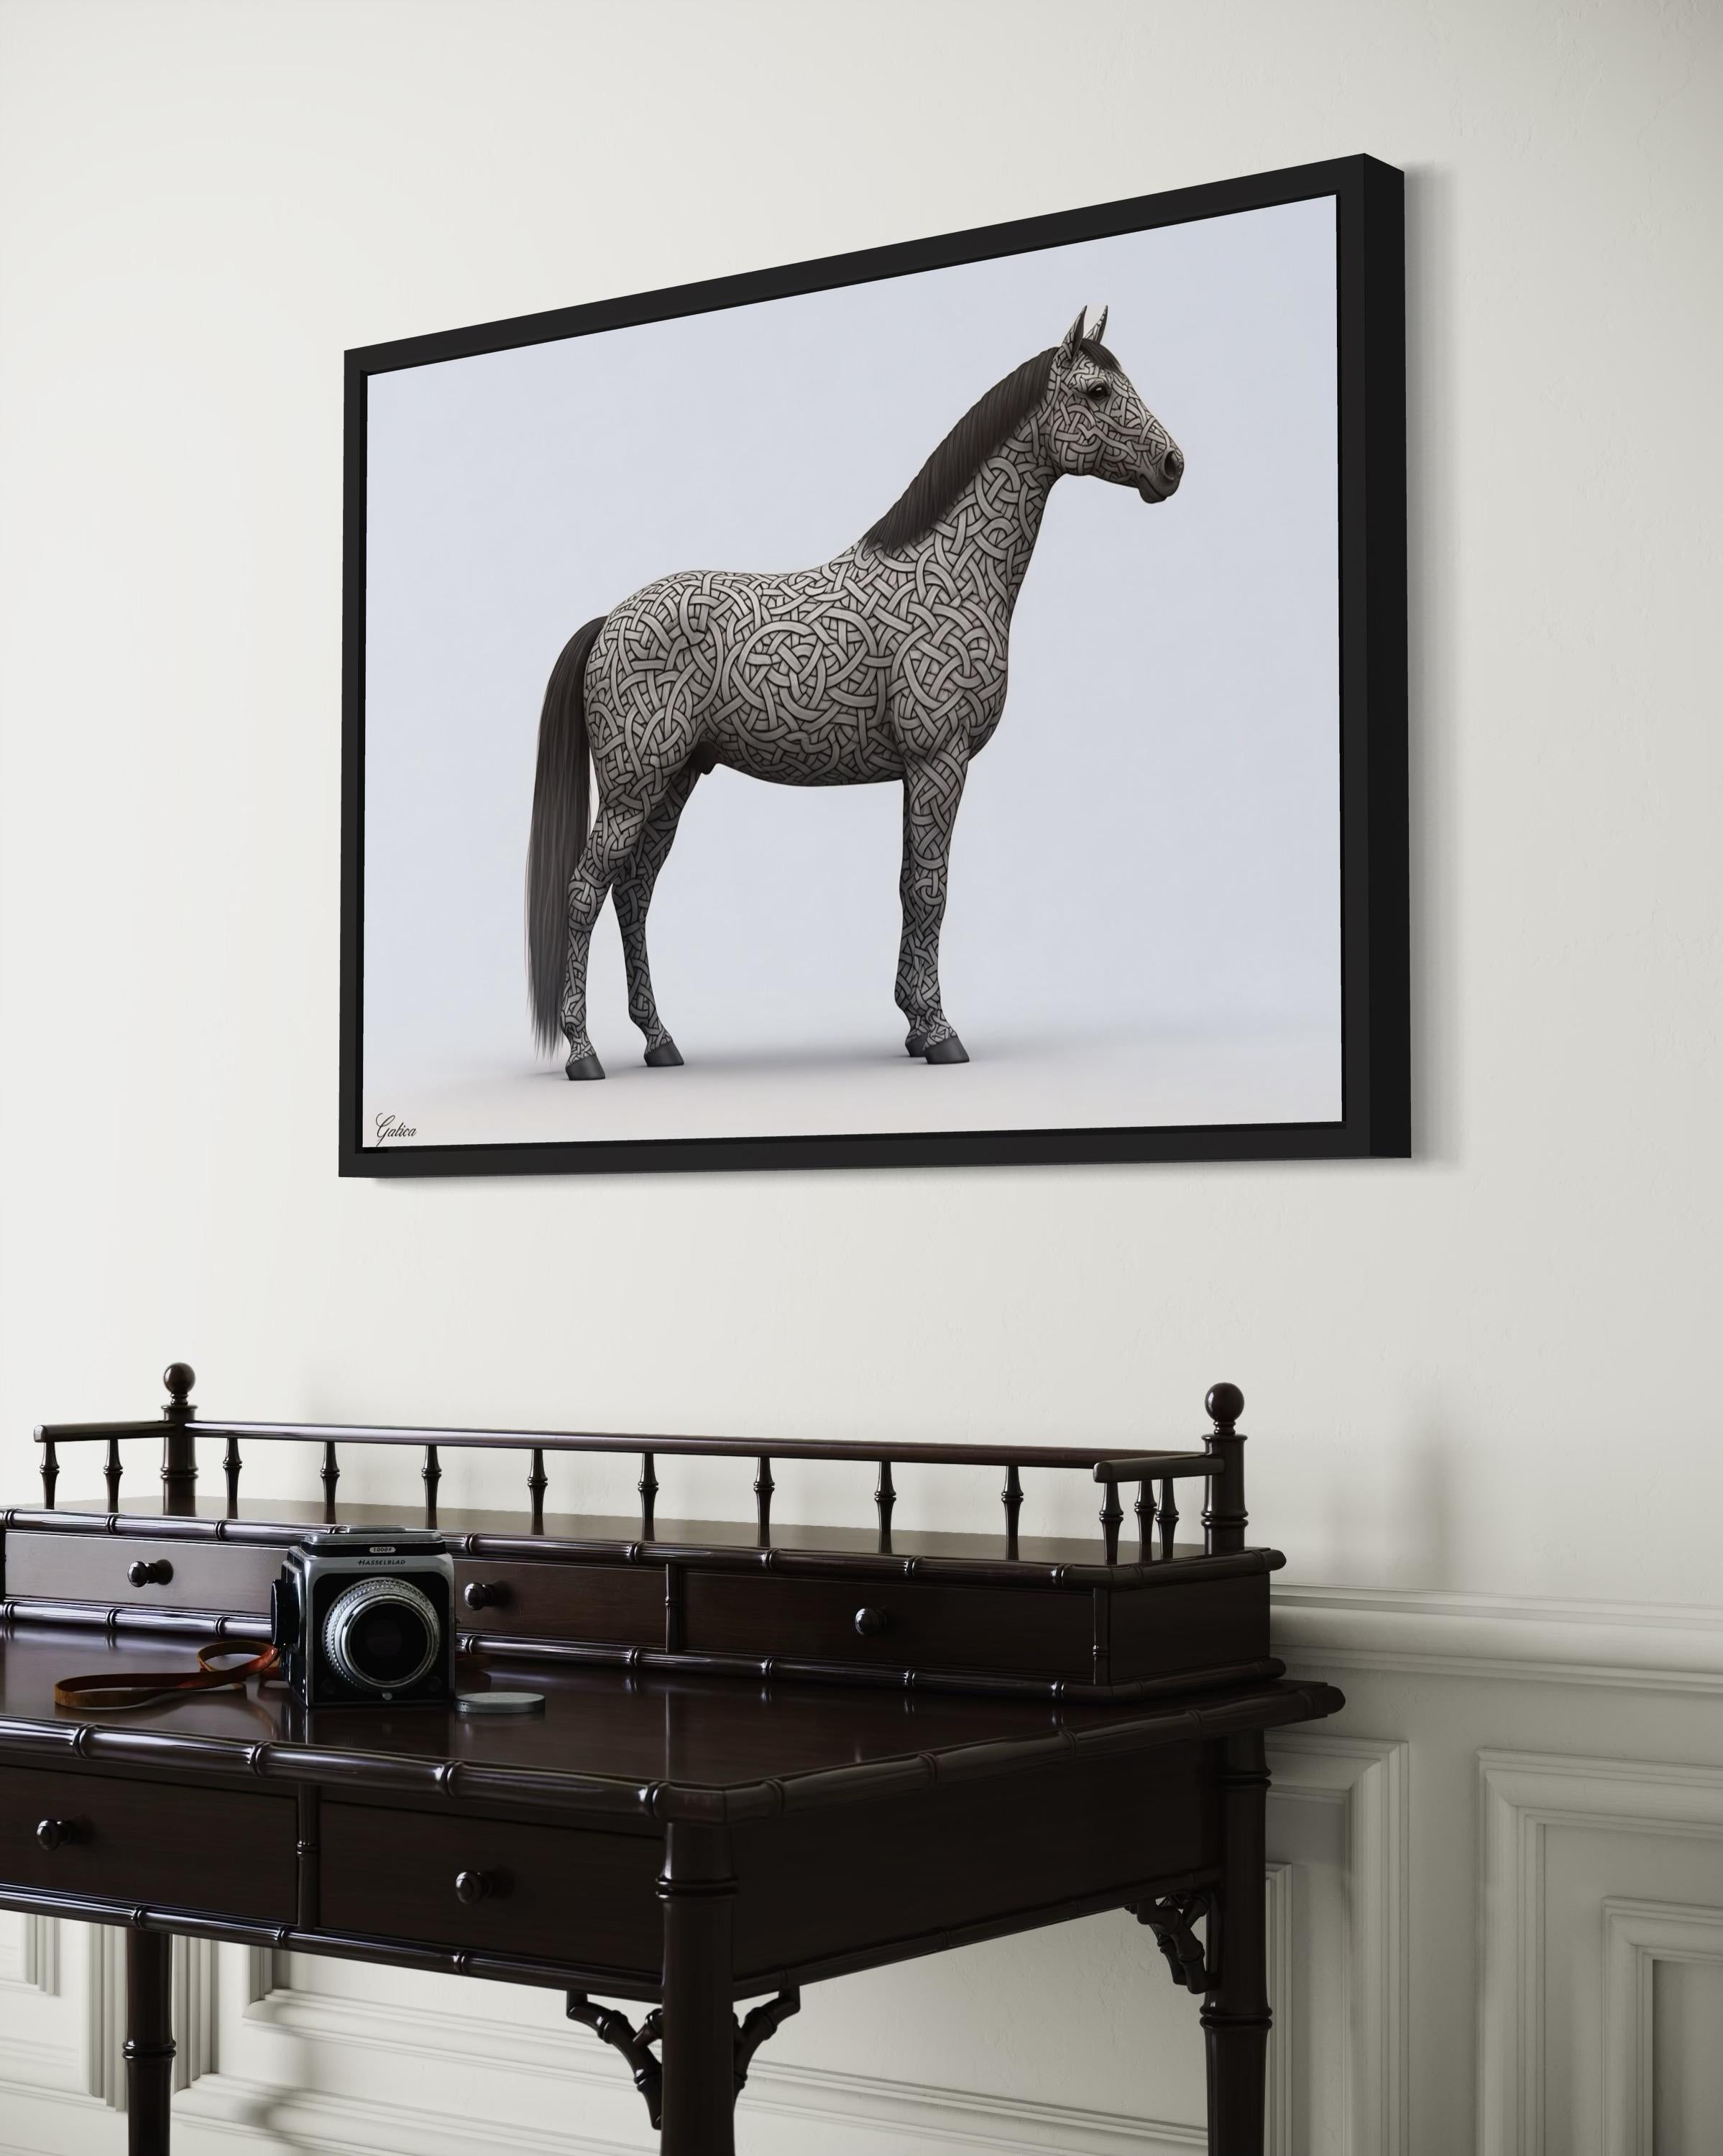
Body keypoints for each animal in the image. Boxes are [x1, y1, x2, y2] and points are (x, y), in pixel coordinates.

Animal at [526, 305, 1183, 1079]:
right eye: (1096, 391)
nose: (1172, 466)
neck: (949, 573)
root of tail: (610, 620)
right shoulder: (939, 761)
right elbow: (930, 889)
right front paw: (940, 1031)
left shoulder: (921, 771)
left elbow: (908, 885)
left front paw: (914, 1026)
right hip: (635, 784)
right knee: (585, 892)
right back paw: (583, 1051)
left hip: (675, 781)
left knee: (634, 893)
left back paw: (660, 1041)